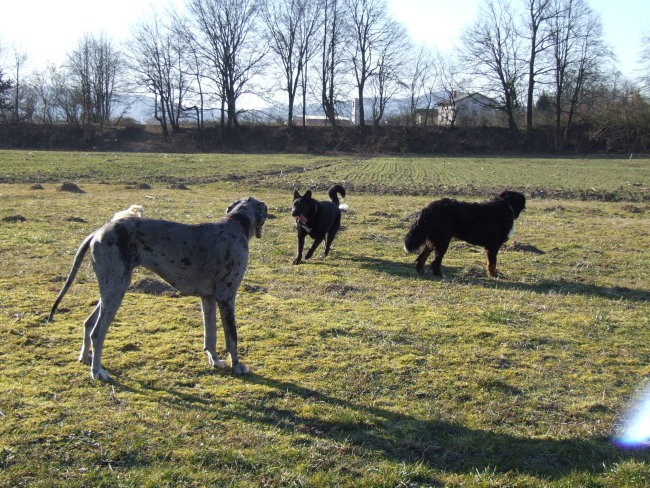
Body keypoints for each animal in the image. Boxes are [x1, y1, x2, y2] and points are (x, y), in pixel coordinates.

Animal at [47, 197, 266, 382]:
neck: (236, 222)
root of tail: (98, 231)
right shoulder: (227, 297)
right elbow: (232, 337)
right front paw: (237, 366)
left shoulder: (208, 298)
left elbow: (210, 333)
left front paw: (214, 360)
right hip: (116, 290)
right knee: (97, 333)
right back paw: (97, 371)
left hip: (112, 289)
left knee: (88, 323)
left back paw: (85, 357)